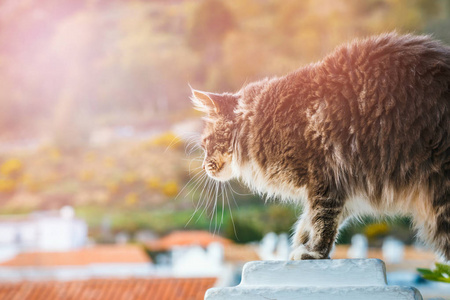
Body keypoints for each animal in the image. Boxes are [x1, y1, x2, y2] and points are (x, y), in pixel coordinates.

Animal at [190, 32, 450, 260]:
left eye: (206, 143)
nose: (203, 166)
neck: (261, 122)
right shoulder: (344, 190)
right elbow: (309, 220)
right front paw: (300, 244)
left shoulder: (325, 177)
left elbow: (321, 220)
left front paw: (314, 251)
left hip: (440, 200)